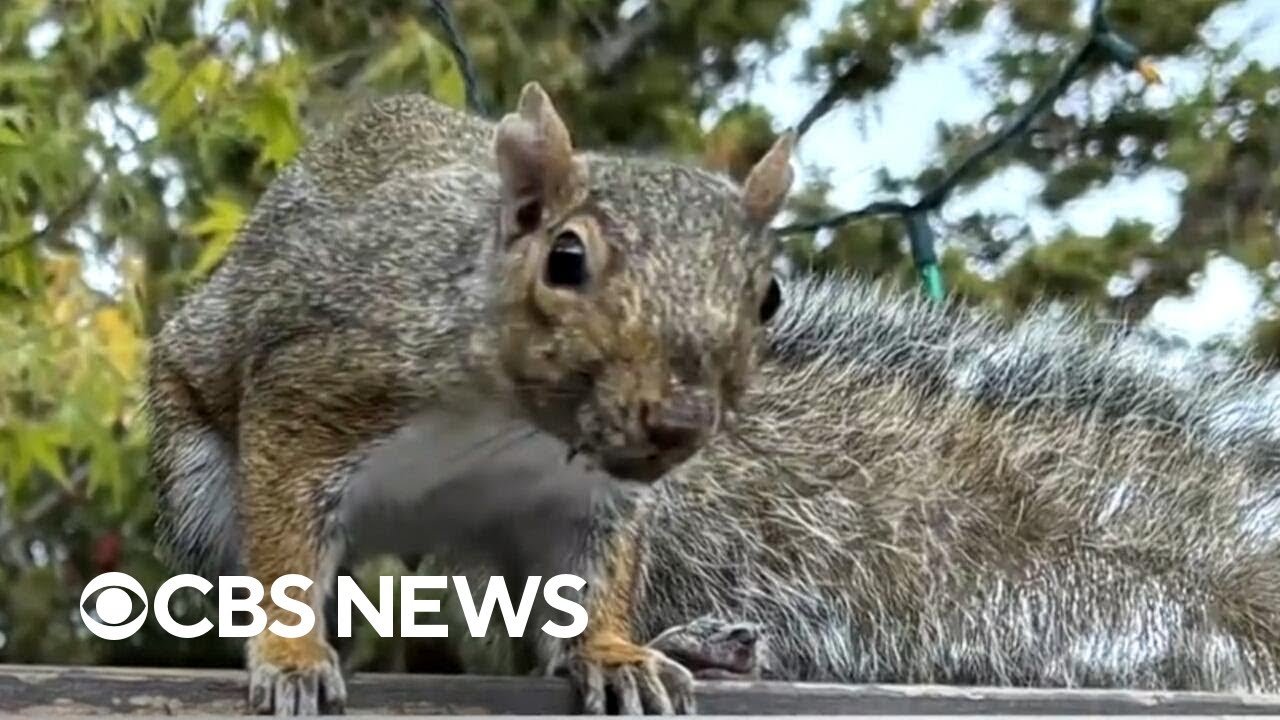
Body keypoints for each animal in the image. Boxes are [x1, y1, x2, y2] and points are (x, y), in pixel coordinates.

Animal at [144, 82, 796, 715]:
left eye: (770, 296)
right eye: (565, 259)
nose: (681, 420)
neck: (508, 416)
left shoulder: (588, 499)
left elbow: (595, 580)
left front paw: (613, 654)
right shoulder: (316, 383)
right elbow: (286, 551)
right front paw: (292, 656)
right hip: (201, 487)